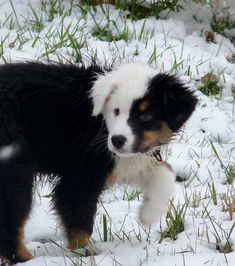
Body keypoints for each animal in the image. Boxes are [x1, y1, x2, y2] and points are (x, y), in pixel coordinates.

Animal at [0, 62, 197, 264]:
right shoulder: (81, 176)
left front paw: (148, 213)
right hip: (14, 166)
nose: (117, 140)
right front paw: (86, 254)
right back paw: (25, 259)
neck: (100, 122)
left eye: (146, 116)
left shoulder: (118, 162)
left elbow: (164, 172)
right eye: (116, 111)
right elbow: (79, 221)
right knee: (10, 219)